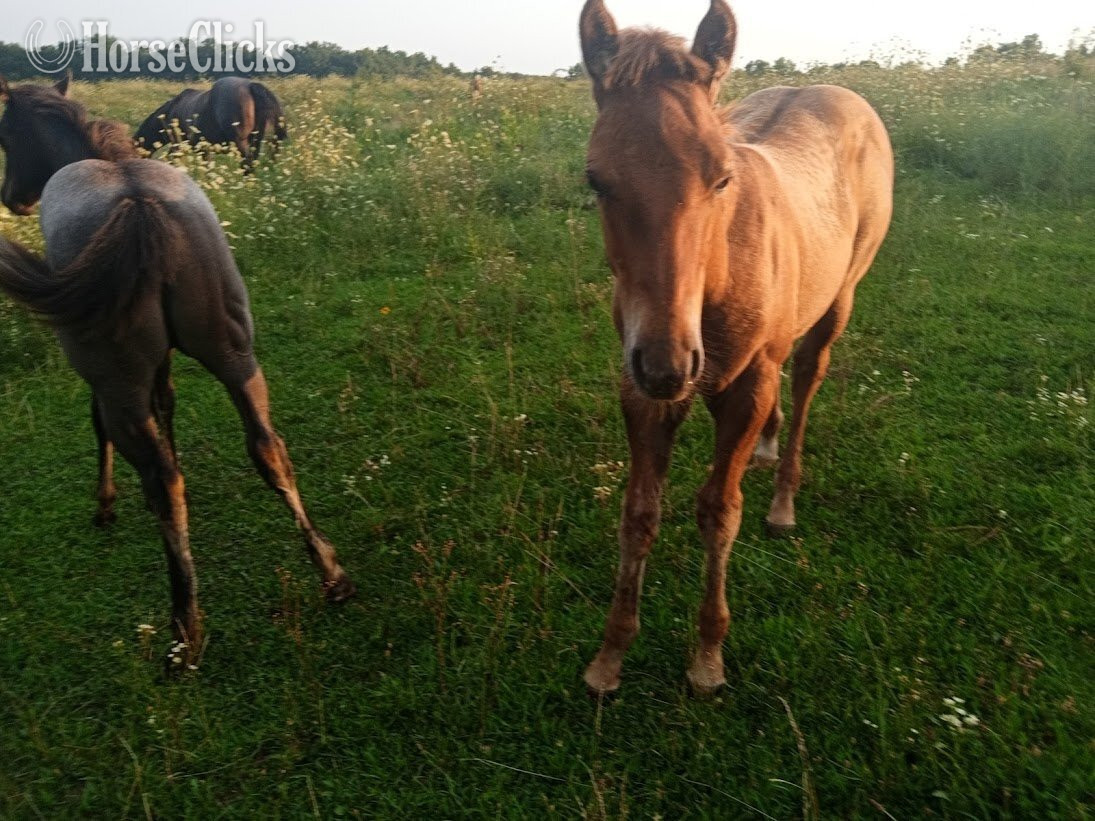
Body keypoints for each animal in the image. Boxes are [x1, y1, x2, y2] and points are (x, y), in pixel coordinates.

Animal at [134, 76, 288, 171]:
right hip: (255, 141)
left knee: (247, 163)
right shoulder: (204, 150)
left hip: (240, 142)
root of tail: (250, 86)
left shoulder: (177, 146)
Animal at [578, 0, 893, 695]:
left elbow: (720, 511)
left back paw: (783, 499)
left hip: (840, 299)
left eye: (721, 179)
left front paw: (706, 657)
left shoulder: (742, 387)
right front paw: (610, 656)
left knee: (806, 376)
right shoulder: (640, 388)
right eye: (596, 181)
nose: (669, 366)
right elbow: (639, 514)